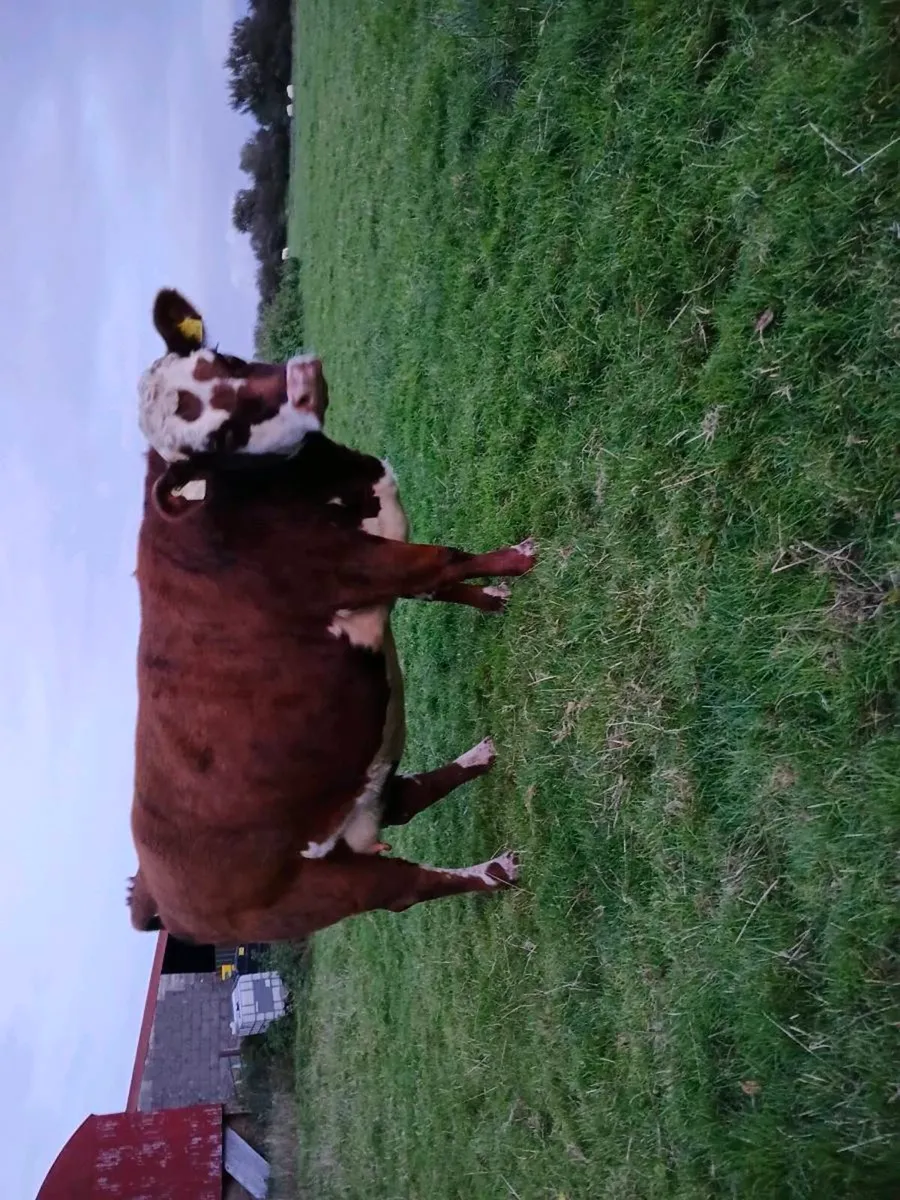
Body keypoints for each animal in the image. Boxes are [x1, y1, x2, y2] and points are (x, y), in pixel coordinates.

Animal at [126, 288, 537, 944]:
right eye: (219, 440)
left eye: (226, 359)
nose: (302, 381)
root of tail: (160, 897)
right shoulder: (363, 567)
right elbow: (445, 561)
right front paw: (519, 562)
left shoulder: (383, 556)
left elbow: (442, 583)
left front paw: (495, 596)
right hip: (326, 889)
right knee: (408, 888)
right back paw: (493, 872)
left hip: (353, 808)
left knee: (404, 798)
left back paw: (480, 758)